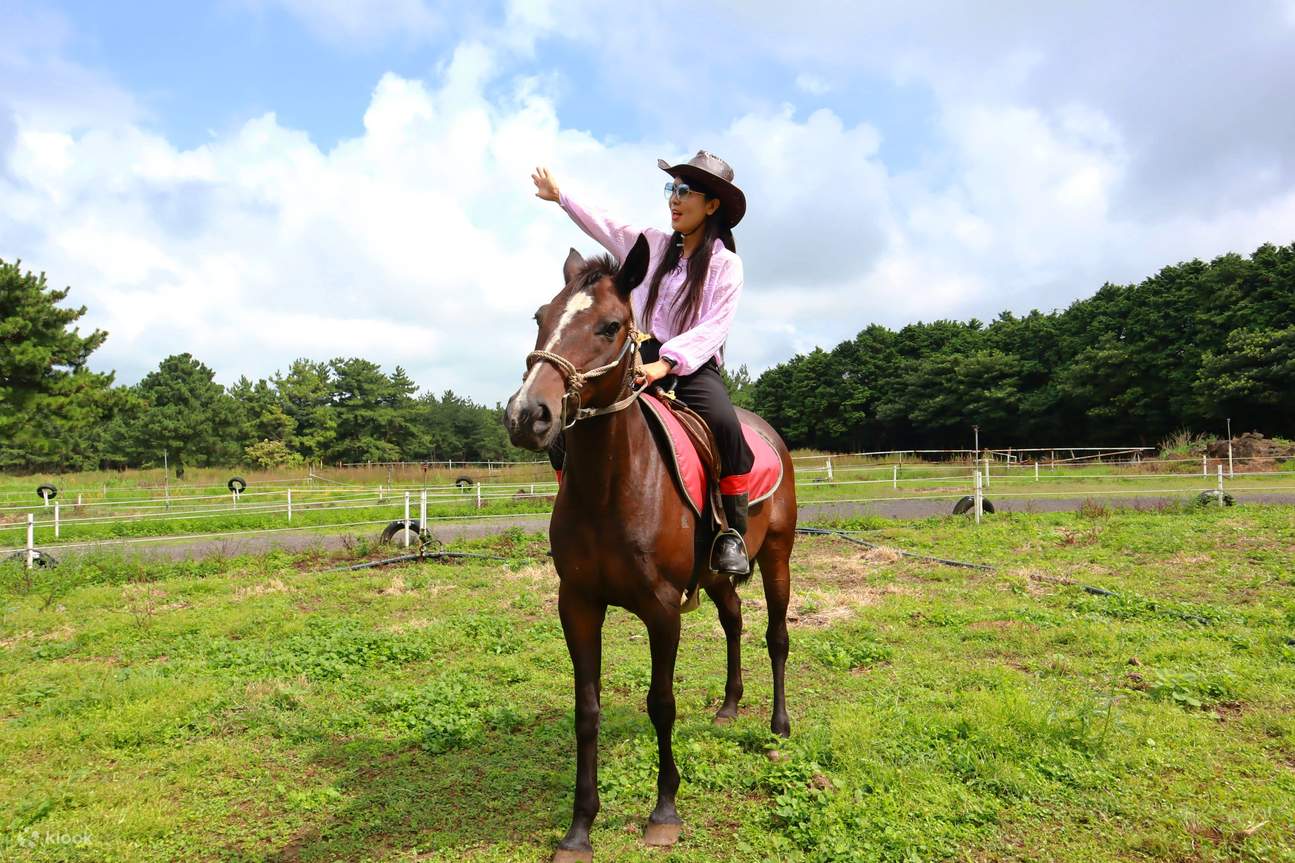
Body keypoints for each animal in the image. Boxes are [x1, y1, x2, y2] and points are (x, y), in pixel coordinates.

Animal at [502, 231, 787, 855]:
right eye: (540, 317)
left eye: (610, 326)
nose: (527, 415)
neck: (613, 488)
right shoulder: (578, 604)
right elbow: (587, 709)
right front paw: (580, 828)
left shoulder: (662, 609)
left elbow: (662, 704)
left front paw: (664, 811)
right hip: (717, 576)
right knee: (734, 620)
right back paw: (730, 706)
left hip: (779, 557)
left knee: (777, 636)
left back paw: (779, 725)